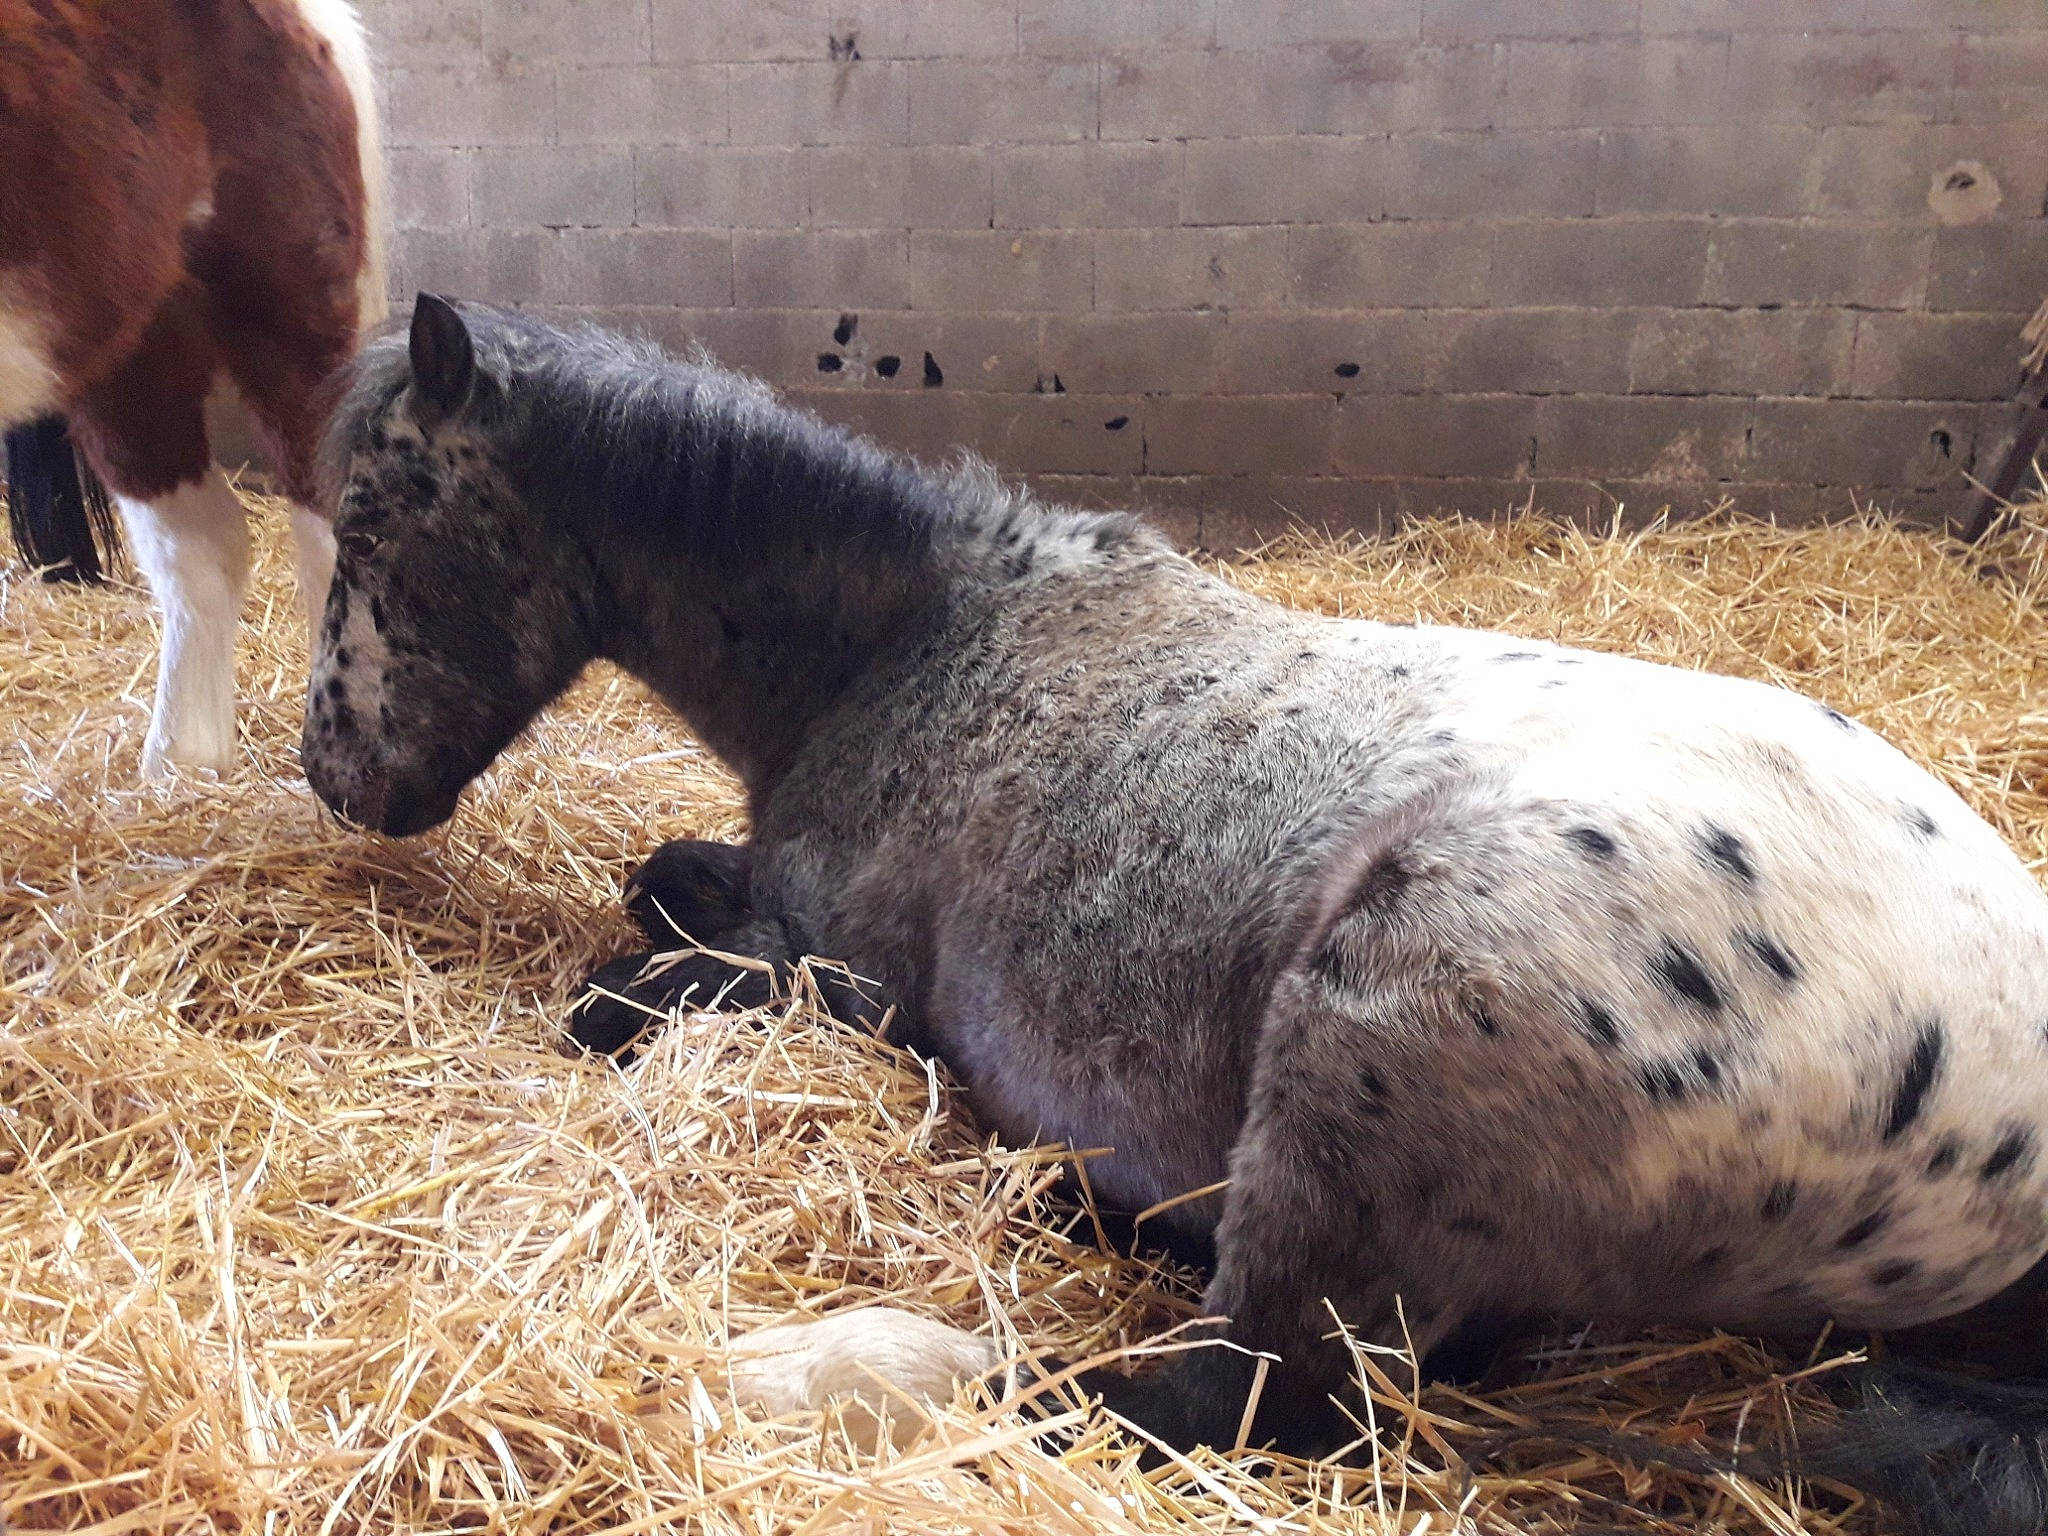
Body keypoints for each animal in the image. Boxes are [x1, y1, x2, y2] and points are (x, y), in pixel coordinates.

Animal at [303, 294, 2048, 1536]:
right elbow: (665, 879)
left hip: (1378, 1031)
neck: (923, 643)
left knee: (1223, 1402)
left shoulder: (845, 980)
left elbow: (626, 992)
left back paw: (831, 1367)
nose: (332, 772)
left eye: (374, 521)